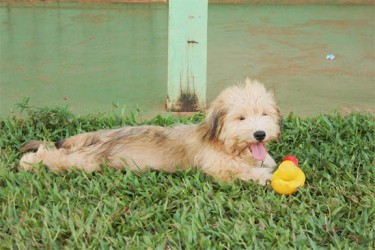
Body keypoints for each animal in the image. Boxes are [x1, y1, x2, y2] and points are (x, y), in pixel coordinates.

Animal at [18, 79, 282, 185]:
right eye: (241, 118)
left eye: (264, 114)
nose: (260, 134)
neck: (223, 143)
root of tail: (103, 134)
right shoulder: (218, 169)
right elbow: (242, 172)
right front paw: (266, 177)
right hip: (86, 162)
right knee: (53, 155)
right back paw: (29, 161)